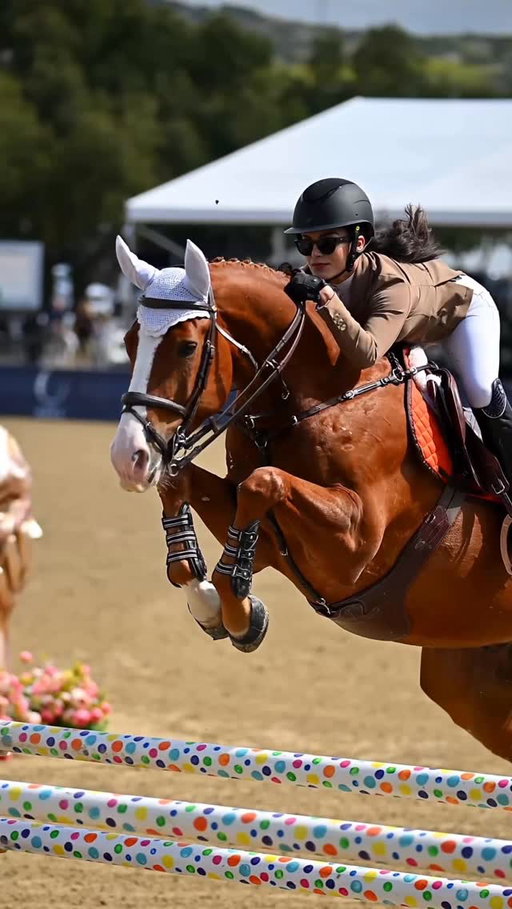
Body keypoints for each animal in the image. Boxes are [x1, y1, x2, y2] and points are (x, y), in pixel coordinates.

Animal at [111, 236, 512, 762]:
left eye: (187, 347)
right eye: (129, 341)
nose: (128, 458)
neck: (320, 396)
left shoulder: (355, 549)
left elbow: (264, 483)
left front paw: (240, 612)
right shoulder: (276, 544)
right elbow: (184, 487)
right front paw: (209, 601)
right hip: (471, 685)